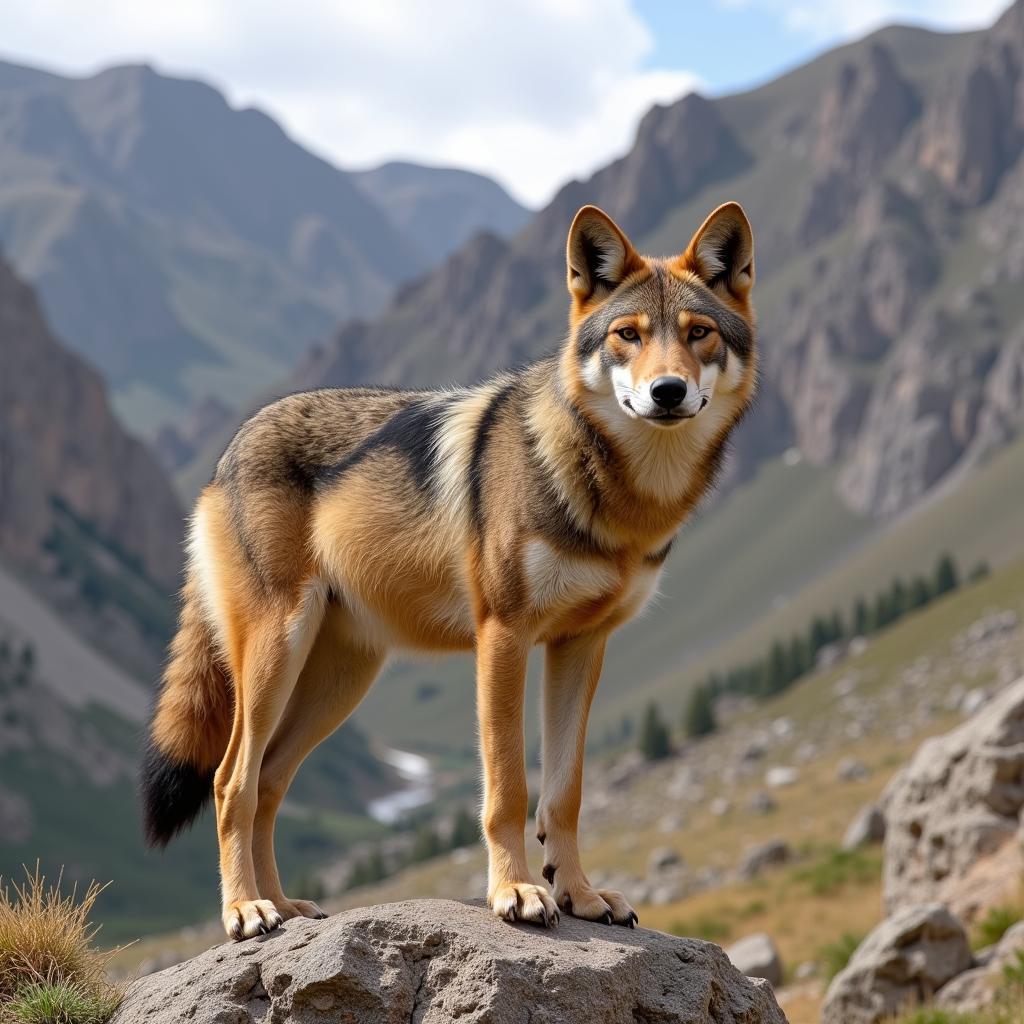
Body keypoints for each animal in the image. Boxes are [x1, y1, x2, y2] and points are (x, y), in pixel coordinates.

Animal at [142, 199, 753, 937]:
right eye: (628, 336)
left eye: (699, 334)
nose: (667, 391)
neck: (615, 496)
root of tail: (229, 451)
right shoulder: (503, 636)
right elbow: (509, 788)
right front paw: (516, 892)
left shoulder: (582, 646)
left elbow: (566, 794)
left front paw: (580, 895)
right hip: (275, 657)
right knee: (231, 779)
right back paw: (246, 909)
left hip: (339, 684)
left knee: (269, 782)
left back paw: (286, 905)